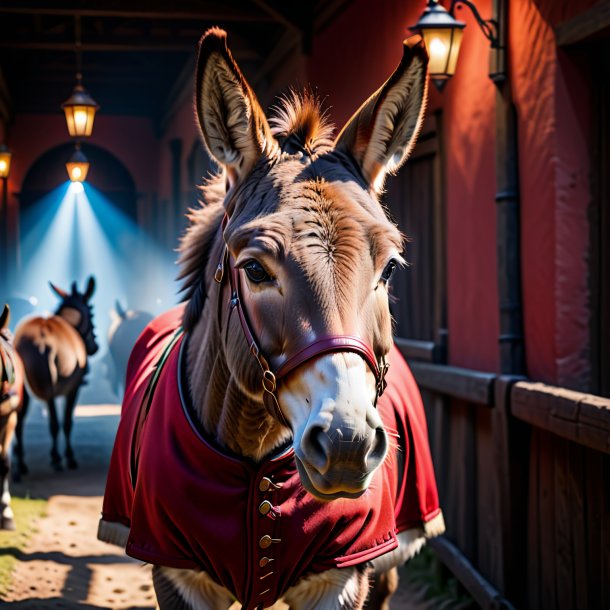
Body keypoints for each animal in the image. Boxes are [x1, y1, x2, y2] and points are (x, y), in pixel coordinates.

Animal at [13, 276, 97, 470]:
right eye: (92, 314)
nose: (95, 347)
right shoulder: (73, 388)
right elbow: (66, 422)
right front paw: (69, 456)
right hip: (48, 387)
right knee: (54, 423)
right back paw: (57, 458)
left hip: (24, 387)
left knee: (20, 422)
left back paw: (21, 463)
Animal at [100, 30, 442, 608]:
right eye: (255, 269)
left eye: (390, 268)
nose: (347, 442)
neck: (255, 457)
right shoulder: (176, 578)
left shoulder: (342, 579)